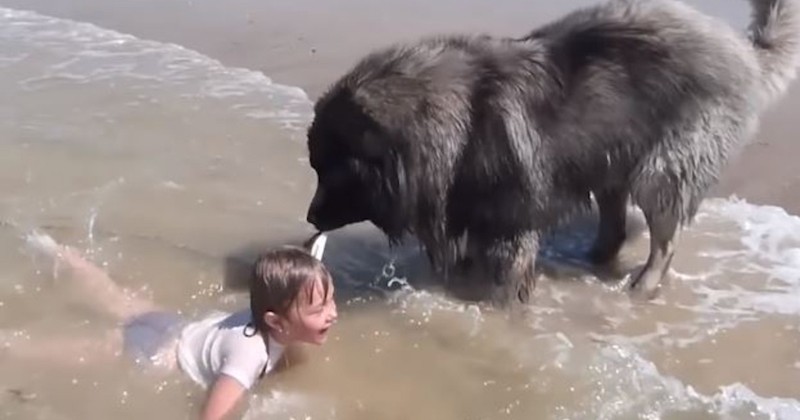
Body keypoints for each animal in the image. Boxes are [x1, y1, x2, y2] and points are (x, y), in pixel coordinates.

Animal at [304, 0, 796, 306]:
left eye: (333, 172)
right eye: (317, 168)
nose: (309, 217)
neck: (460, 120)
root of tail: (743, 51)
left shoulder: (510, 227)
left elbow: (504, 281)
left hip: (662, 169)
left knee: (664, 241)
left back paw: (642, 285)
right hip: (609, 155)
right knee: (615, 224)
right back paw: (593, 259)